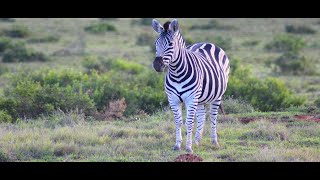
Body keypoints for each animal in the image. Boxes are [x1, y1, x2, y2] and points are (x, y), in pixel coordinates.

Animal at [151, 19, 229, 153]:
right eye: (156, 43)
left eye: (171, 44)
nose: (157, 65)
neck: (177, 73)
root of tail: (207, 43)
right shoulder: (173, 99)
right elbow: (178, 122)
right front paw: (177, 145)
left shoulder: (191, 99)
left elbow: (189, 122)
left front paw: (188, 147)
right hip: (201, 98)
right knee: (202, 116)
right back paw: (197, 140)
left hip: (217, 96)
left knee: (213, 117)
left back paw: (214, 142)